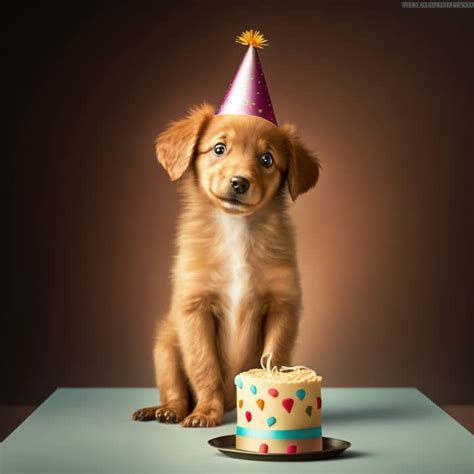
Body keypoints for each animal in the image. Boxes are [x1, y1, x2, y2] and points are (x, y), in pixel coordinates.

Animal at [131, 104, 320, 430]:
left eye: (267, 159)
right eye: (219, 148)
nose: (239, 182)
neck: (235, 228)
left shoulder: (283, 306)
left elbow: (273, 356)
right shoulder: (195, 309)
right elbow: (204, 367)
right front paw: (206, 412)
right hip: (165, 347)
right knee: (175, 392)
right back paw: (166, 410)